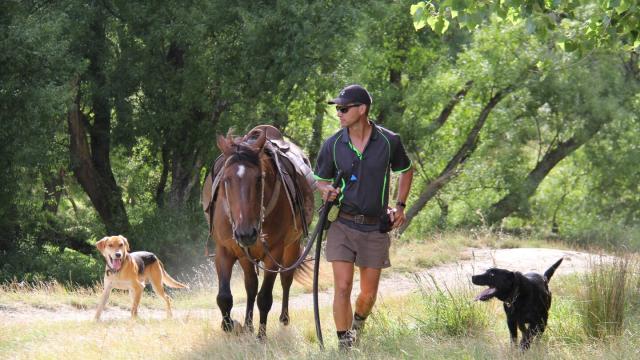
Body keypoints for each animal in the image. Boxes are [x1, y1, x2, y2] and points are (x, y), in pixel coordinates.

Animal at [206, 129, 312, 338]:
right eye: (226, 180)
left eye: (259, 179)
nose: (246, 233)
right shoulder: (225, 250)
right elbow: (224, 297)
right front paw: (230, 326)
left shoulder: (274, 253)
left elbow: (264, 298)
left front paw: (261, 336)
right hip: (246, 255)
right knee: (250, 286)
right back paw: (248, 325)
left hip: (292, 246)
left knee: (286, 279)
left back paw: (283, 319)